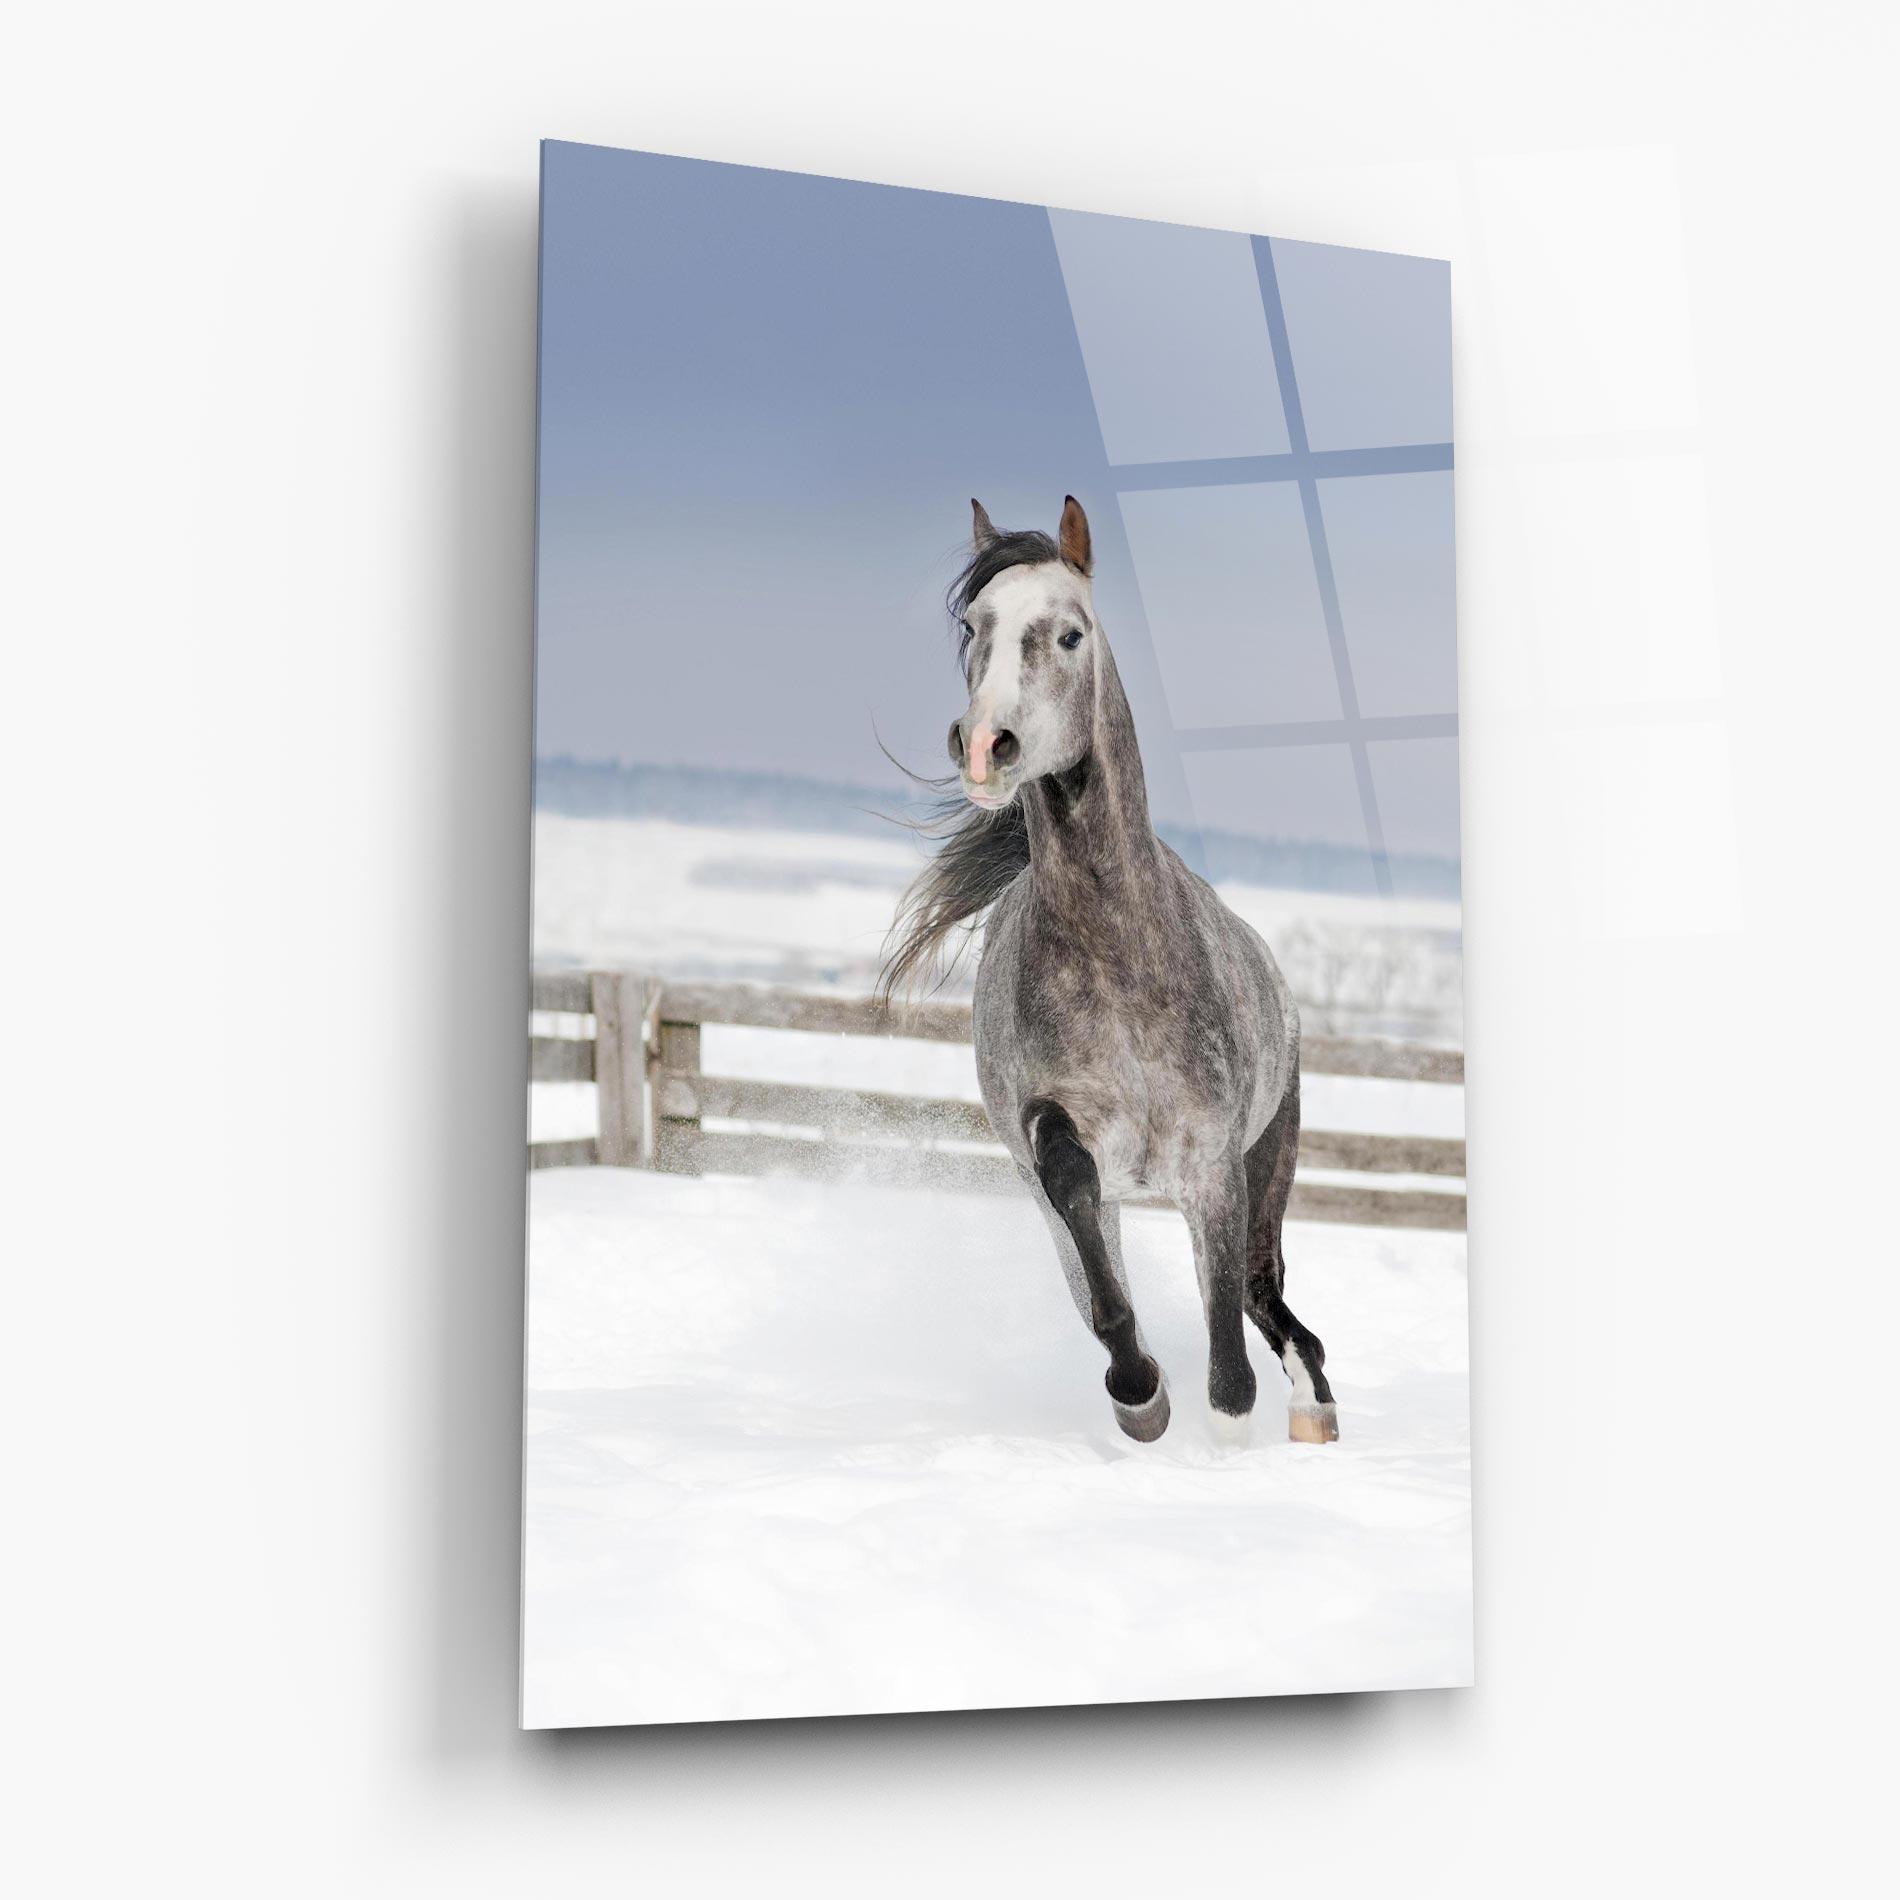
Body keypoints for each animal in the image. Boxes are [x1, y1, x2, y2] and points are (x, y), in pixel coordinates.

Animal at [881, 496, 1338, 1447]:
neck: (1120, 956)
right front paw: (1140, 1394)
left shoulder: (1213, 1168)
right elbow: (1094, 1257)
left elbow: (1227, 1360)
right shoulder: (1056, 1142)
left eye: (1070, 633)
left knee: (1261, 1292)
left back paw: (1313, 1408)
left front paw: (1225, 1434)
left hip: (1268, 1160)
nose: (985, 744)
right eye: (974, 626)